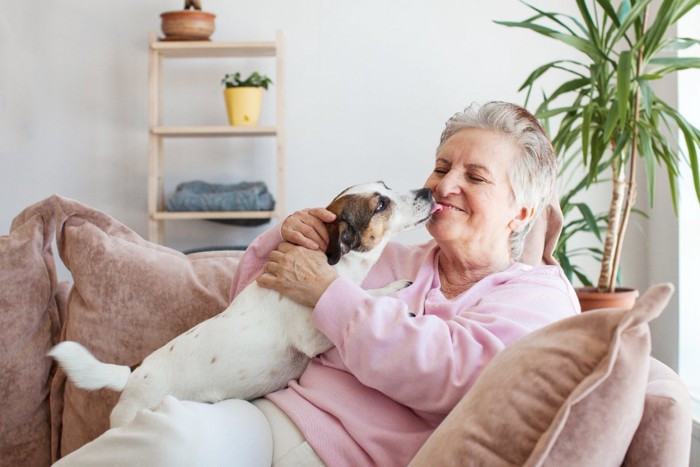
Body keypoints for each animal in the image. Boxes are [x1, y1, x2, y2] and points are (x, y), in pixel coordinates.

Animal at [49, 182, 434, 428]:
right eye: (380, 204)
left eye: (386, 186)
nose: (428, 191)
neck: (332, 262)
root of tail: (133, 373)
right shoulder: (311, 335)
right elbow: (363, 296)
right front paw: (394, 300)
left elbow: (364, 289)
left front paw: (394, 285)